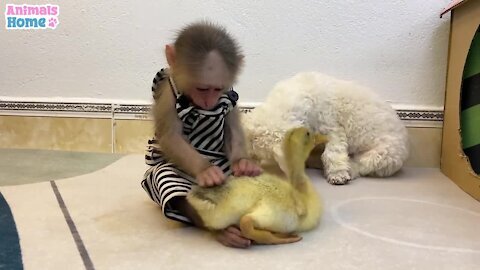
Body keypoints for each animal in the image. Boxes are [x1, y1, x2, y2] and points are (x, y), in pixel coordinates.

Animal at [142, 21, 262, 249]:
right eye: (202, 88)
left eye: (217, 89)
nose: (209, 102)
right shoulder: (168, 96)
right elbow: (171, 136)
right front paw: (206, 170)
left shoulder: (229, 96)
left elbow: (232, 126)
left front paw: (243, 162)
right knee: (169, 181)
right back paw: (225, 231)